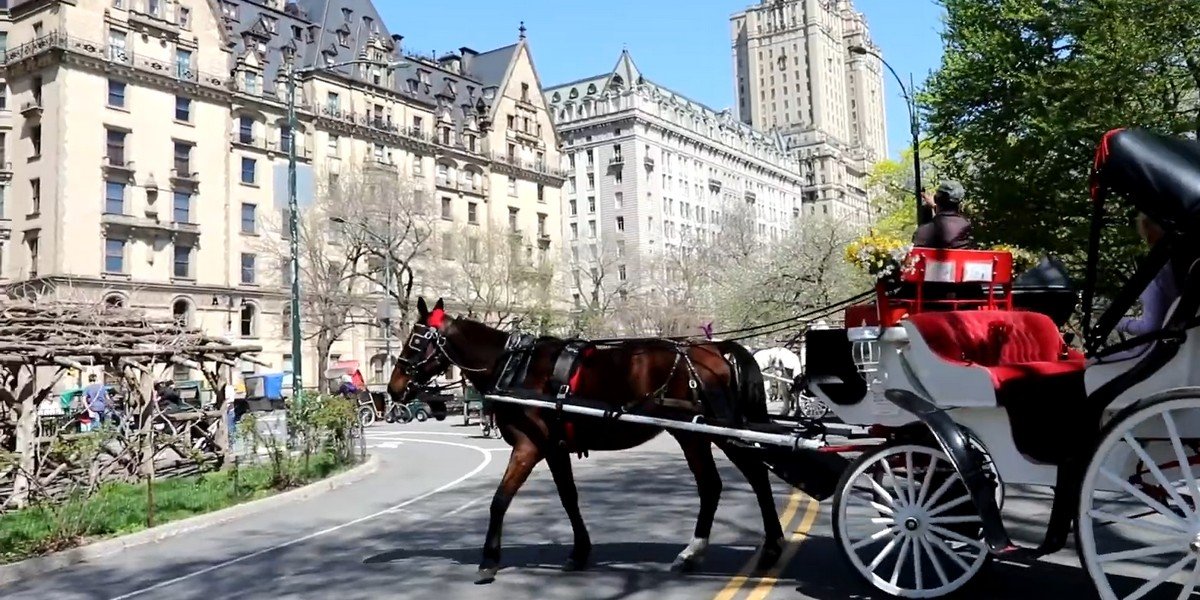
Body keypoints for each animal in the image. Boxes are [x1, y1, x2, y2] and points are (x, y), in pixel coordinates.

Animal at [388, 297, 787, 583]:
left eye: (416, 341)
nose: (393, 389)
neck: (515, 367)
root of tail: (715, 349)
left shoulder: (528, 447)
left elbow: (500, 500)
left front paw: (489, 559)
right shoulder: (553, 449)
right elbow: (569, 498)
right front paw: (580, 551)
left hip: (711, 432)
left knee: (751, 475)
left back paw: (766, 547)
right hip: (695, 433)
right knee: (715, 484)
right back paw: (699, 552)